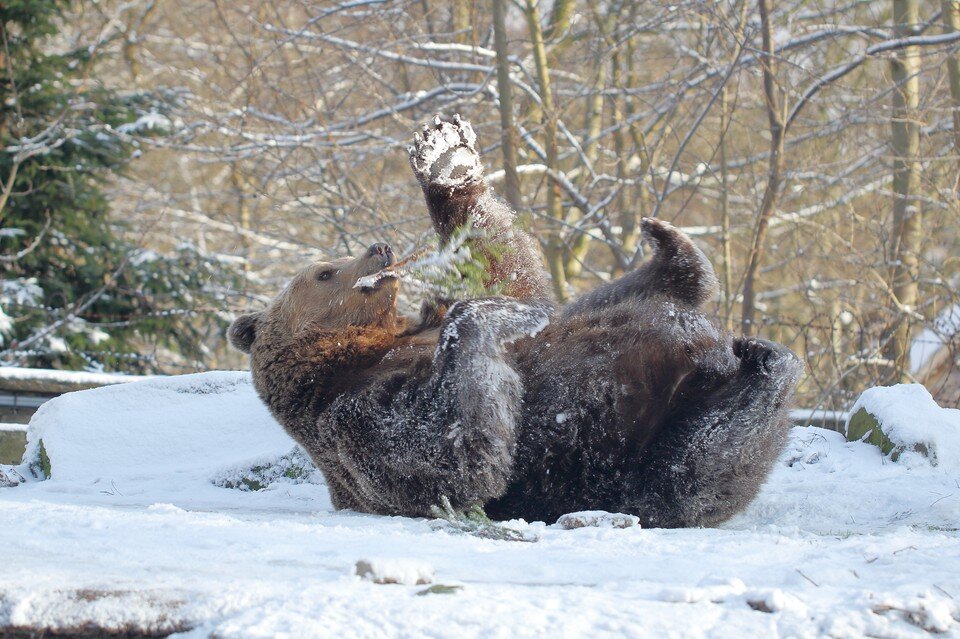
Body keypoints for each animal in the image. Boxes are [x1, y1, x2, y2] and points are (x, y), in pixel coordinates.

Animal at [227, 117, 804, 528]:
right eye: (325, 271)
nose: (379, 247)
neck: (358, 351)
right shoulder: (357, 418)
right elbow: (456, 458)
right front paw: (489, 318)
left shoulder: (418, 331)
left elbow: (508, 274)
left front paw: (444, 155)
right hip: (647, 439)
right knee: (703, 460)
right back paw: (767, 363)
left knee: (615, 302)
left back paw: (674, 251)